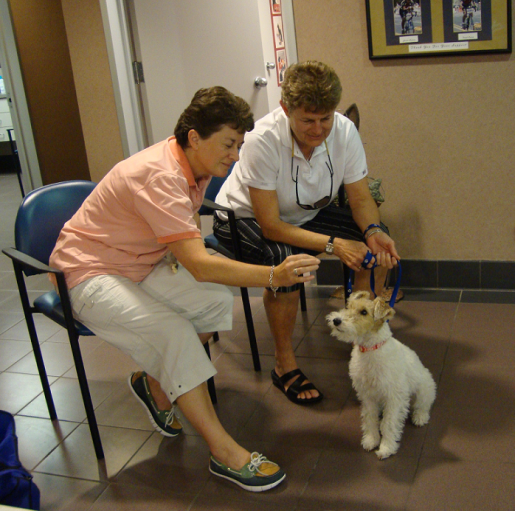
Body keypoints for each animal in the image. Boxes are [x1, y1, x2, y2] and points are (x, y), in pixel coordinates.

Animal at [326, 292, 436, 460]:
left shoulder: (394, 398)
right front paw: (371, 440)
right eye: (348, 306)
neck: (371, 349)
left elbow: (388, 425)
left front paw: (386, 448)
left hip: (424, 389)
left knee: (422, 405)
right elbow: (370, 419)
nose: (336, 320)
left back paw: (419, 418)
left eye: (364, 312)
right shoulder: (368, 396)